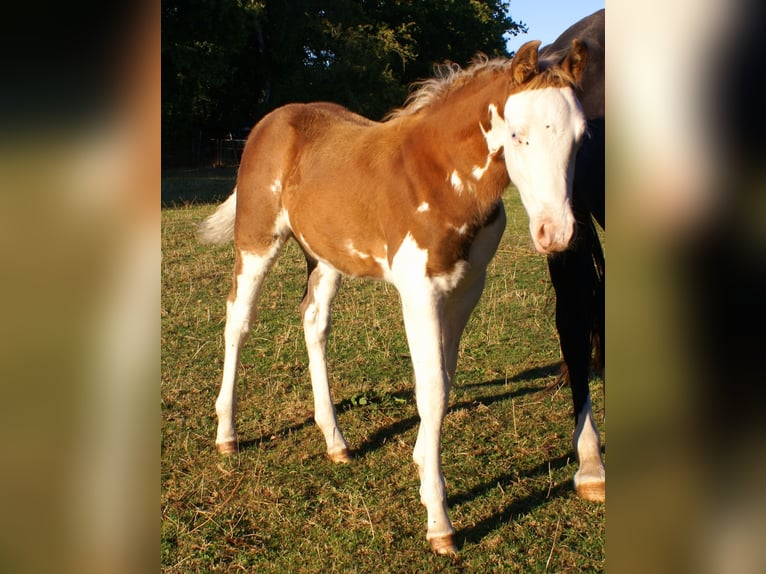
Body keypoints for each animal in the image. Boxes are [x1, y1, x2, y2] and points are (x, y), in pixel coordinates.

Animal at [198, 40, 590, 555]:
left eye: (580, 137)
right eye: (516, 134)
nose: (555, 234)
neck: (441, 176)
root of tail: (271, 121)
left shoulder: (467, 287)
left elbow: (442, 381)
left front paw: (423, 466)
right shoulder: (419, 290)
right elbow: (433, 388)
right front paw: (439, 519)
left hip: (326, 256)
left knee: (314, 322)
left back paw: (335, 440)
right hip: (257, 240)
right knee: (238, 321)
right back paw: (227, 434)